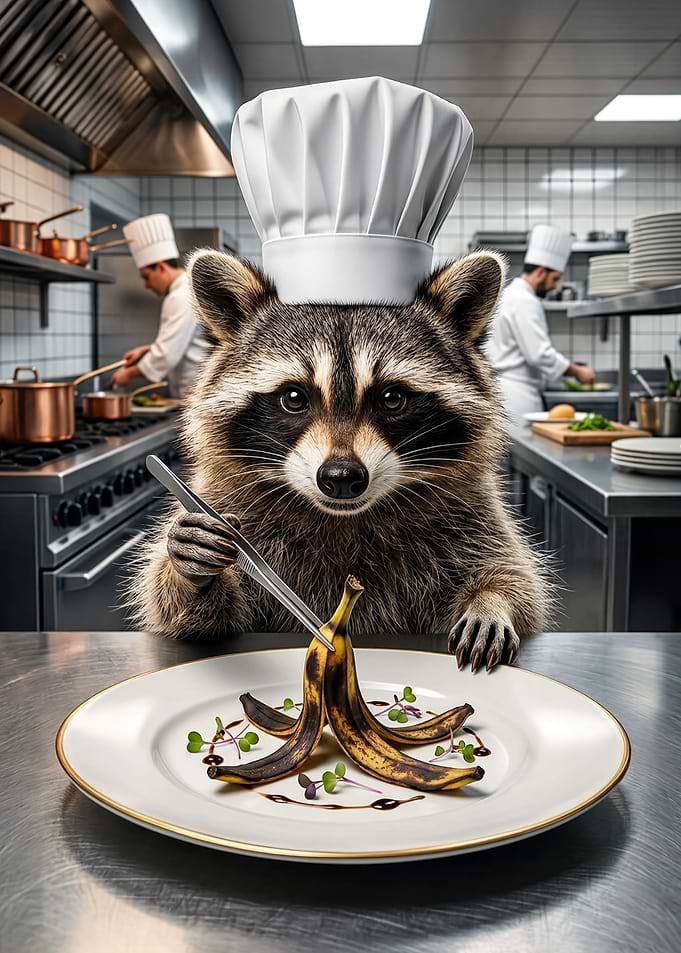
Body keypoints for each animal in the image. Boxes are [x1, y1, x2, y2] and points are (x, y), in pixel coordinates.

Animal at [127, 248, 550, 671]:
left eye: (392, 398)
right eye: (294, 397)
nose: (342, 477)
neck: (344, 518)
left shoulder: (472, 514)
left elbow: (516, 577)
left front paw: (491, 601)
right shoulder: (228, 503)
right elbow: (189, 617)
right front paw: (189, 577)